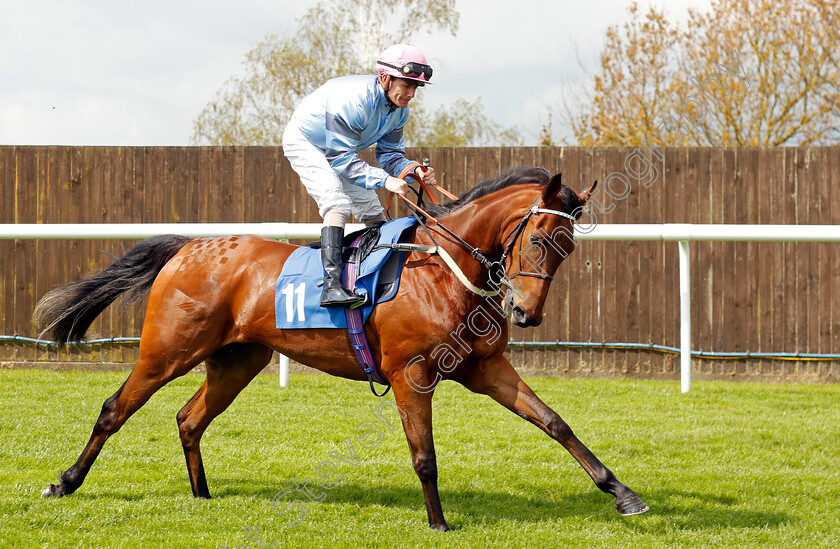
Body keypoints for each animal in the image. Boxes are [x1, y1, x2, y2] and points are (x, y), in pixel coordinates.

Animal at [34, 166, 648, 528]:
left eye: (569, 247)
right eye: (540, 239)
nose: (526, 313)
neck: (444, 271)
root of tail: (188, 247)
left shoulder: (486, 368)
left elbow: (556, 423)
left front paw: (622, 493)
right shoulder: (411, 375)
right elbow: (424, 456)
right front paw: (439, 523)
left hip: (238, 361)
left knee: (189, 418)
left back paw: (202, 494)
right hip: (165, 352)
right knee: (114, 409)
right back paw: (64, 482)